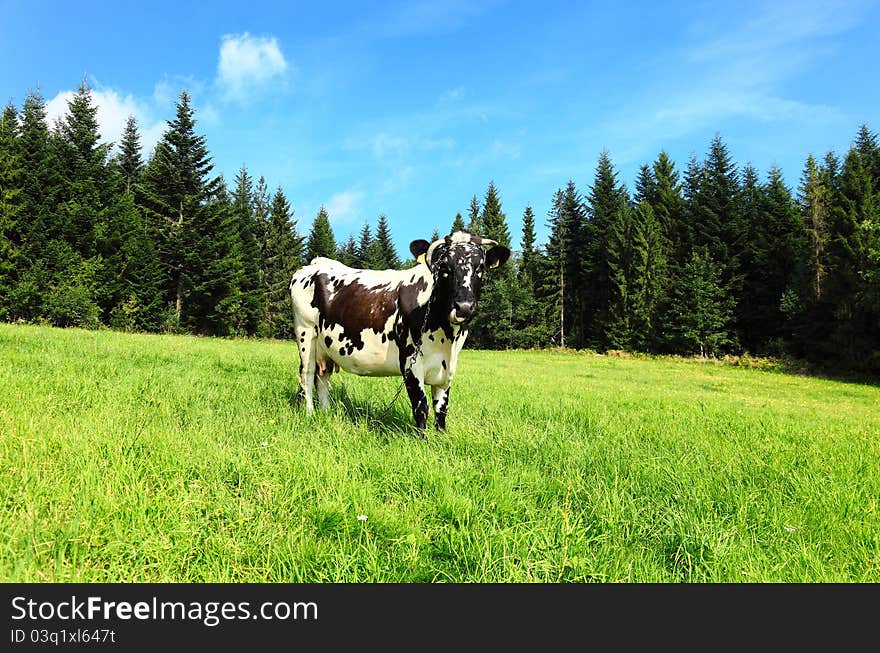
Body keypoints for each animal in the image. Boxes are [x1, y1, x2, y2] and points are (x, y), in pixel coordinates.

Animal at [290, 232, 508, 430]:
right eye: (445, 267)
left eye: (480, 268)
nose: (464, 307)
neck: (446, 339)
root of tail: (316, 263)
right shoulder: (410, 362)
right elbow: (421, 407)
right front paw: (423, 441)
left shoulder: (448, 367)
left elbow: (441, 409)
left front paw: (441, 437)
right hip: (305, 333)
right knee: (307, 375)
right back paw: (309, 414)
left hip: (325, 348)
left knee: (322, 378)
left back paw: (326, 413)